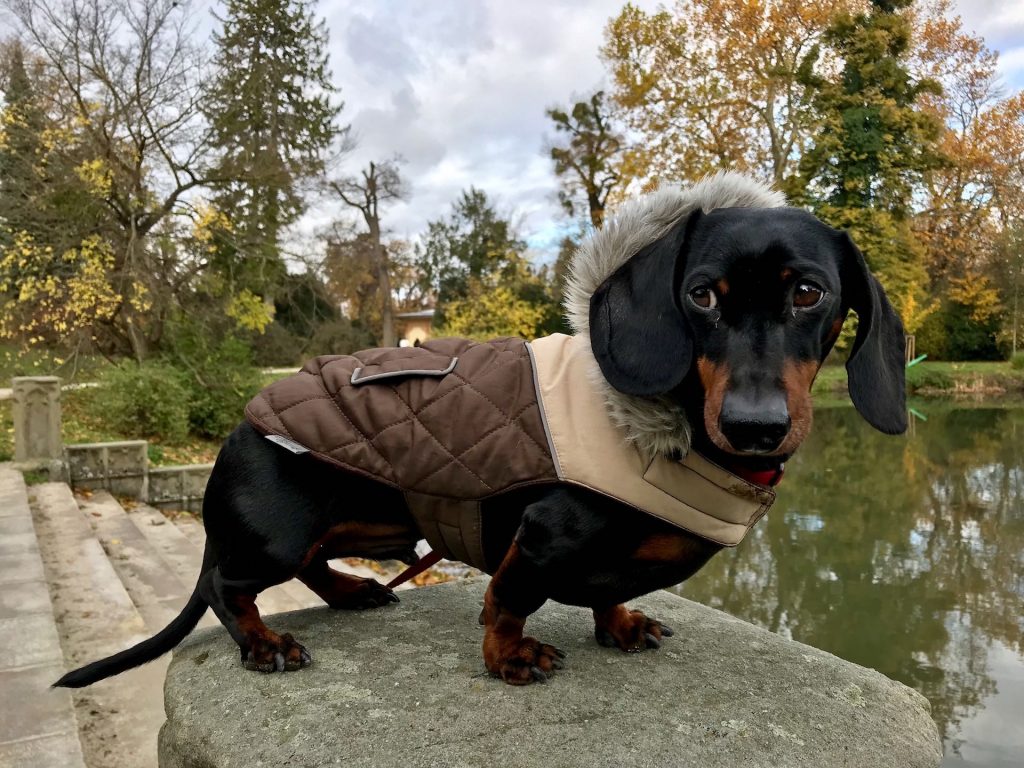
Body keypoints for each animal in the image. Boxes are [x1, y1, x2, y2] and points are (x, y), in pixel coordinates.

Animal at [56, 174, 905, 692]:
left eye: (809, 293)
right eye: (701, 294)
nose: (755, 427)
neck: (665, 426)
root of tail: (238, 424)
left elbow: (607, 592)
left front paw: (619, 624)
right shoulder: (543, 534)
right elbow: (507, 599)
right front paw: (510, 657)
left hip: (362, 518)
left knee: (316, 564)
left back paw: (355, 592)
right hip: (272, 531)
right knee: (229, 588)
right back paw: (263, 642)